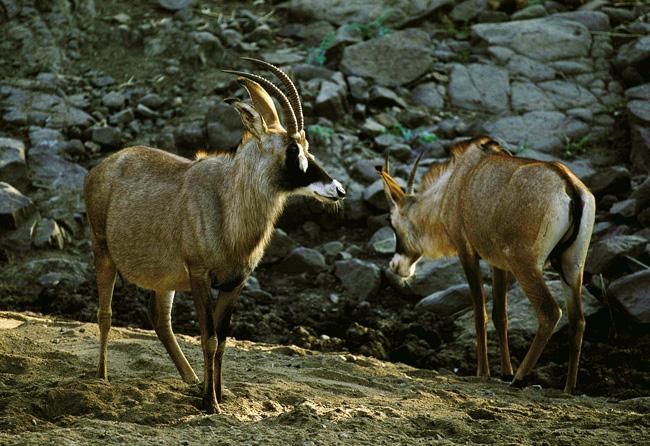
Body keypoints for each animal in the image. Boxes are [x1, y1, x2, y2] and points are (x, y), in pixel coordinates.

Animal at [85, 57, 344, 412]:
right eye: (293, 148)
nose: (339, 189)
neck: (227, 201)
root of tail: (103, 167)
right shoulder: (200, 277)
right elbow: (207, 339)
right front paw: (211, 403)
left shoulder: (235, 283)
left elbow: (221, 341)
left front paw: (218, 394)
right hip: (103, 252)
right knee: (106, 313)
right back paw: (102, 376)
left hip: (164, 281)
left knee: (160, 319)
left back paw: (191, 380)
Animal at [378, 137, 596, 394]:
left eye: (392, 223)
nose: (395, 266)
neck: (453, 185)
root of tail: (568, 184)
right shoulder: (498, 264)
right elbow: (500, 316)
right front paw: (504, 371)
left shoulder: (467, 253)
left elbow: (479, 314)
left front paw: (484, 372)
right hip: (571, 266)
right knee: (578, 320)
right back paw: (568, 388)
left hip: (525, 265)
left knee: (550, 311)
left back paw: (519, 378)